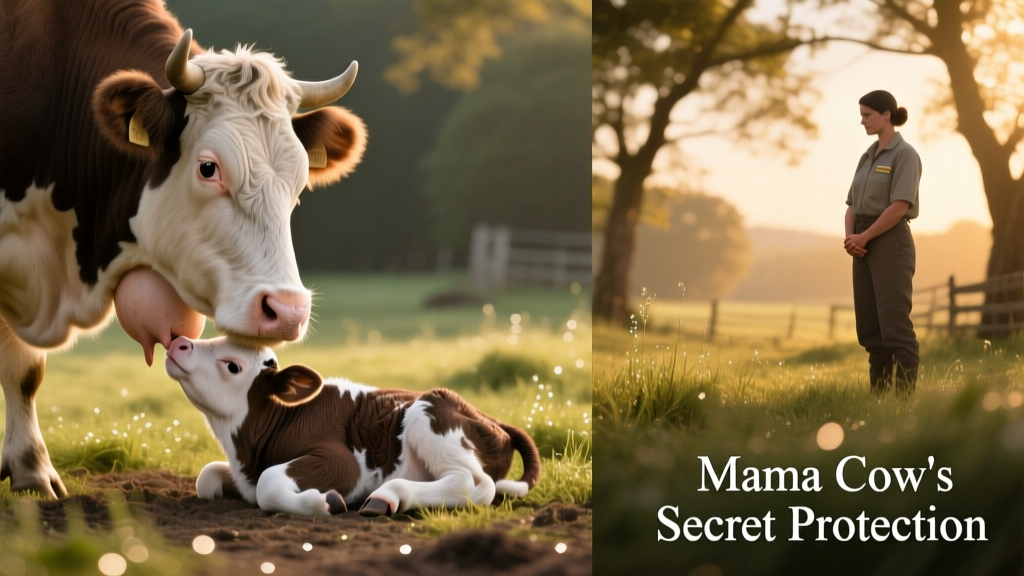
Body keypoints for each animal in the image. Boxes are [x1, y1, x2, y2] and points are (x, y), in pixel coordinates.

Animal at [165, 336, 542, 517]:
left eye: (233, 366)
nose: (178, 341)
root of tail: (492, 418)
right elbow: (207, 477)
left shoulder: (343, 463)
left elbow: (268, 484)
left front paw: (324, 502)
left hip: (427, 417)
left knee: (475, 484)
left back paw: (389, 495)